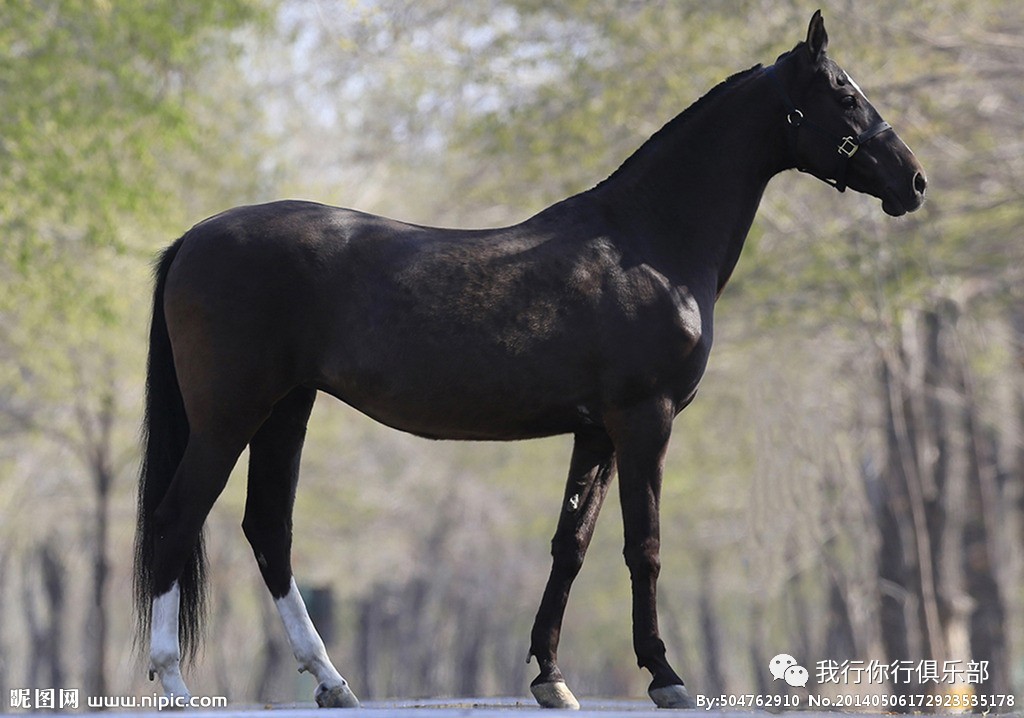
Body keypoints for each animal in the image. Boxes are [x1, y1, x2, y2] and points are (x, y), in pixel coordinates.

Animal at [132, 9, 925, 704]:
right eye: (844, 94)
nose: (913, 181)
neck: (647, 242)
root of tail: (192, 238)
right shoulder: (645, 419)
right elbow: (644, 546)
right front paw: (664, 675)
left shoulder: (597, 431)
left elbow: (570, 544)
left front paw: (550, 675)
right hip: (229, 415)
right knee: (176, 519)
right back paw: (175, 684)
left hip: (285, 410)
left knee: (269, 530)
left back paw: (333, 683)